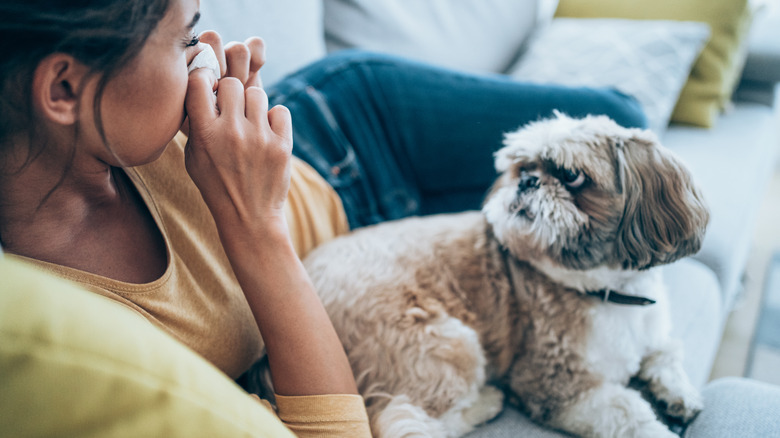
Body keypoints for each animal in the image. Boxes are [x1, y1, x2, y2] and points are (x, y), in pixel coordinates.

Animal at [302, 114, 708, 438]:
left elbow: (666, 353)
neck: (608, 292)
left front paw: (681, 394)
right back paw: (487, 401)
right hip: (444, 342)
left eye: (571, 175)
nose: (527, 181)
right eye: (522, 168)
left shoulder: (652, 333)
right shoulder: (554, 383)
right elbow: (629, 412)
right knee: (406, 419)